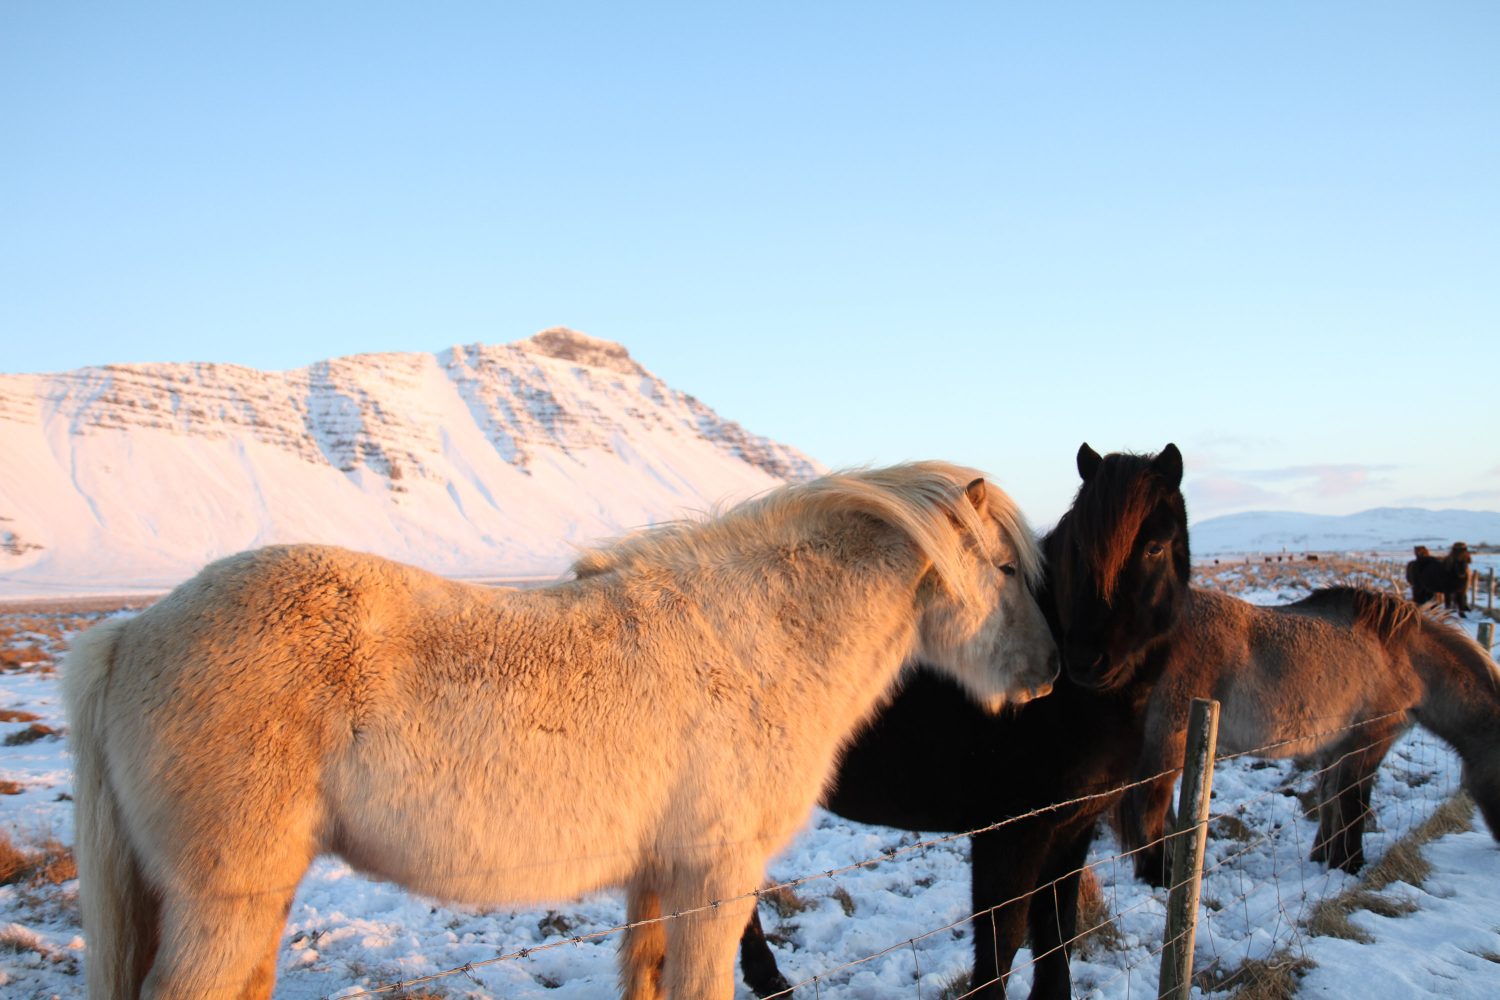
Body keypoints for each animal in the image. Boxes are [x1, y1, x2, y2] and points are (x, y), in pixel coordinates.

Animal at [61, 464, 1056, 1000]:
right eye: (1007, 567)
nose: (1049, 672)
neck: (755, 637)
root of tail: (131, 633)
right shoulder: (714, 881)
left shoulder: (659, 881)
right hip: (224, 903)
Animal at [732, 446, 1188, 1000]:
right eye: (1079, 550)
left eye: (1156, 547)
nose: (1084, 660)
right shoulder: (1010, 836)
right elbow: (1001, 943)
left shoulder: (1072, 830)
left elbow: (1056, 931)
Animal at [1128, 587, 1500, 881]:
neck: (1407, 659)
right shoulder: (1368, 742)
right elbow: (1354, 800)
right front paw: (1350, 864)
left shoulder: (1334, 747)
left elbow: (1330, 798)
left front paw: (1324, 856)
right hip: (1170, 742)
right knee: (1147, 807)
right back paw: (1159, 876)